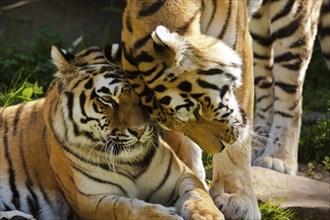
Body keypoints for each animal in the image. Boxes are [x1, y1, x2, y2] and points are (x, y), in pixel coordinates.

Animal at [0, 45, 224, 219]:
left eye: (143, 97)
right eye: (108, 100)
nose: (139, 131)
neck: (132, 163)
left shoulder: (184, 176)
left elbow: (199, 196)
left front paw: (207, 215)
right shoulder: (91, 200)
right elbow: (127, 209)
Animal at [113, 0, 262, 220]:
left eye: (196, 108)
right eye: (172, 122)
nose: (219, 148)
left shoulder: (240, 45)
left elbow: (238, 148)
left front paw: (236, 199)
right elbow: (182, 146)